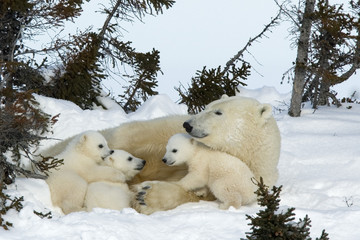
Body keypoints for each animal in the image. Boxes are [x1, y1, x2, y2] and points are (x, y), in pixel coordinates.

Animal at [40, 95, 282, 214]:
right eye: (207, 106)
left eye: (219, 112)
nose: (188, 124)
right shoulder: (160, 134)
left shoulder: (243, 177)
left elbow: (195, 190)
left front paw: (146, 196)